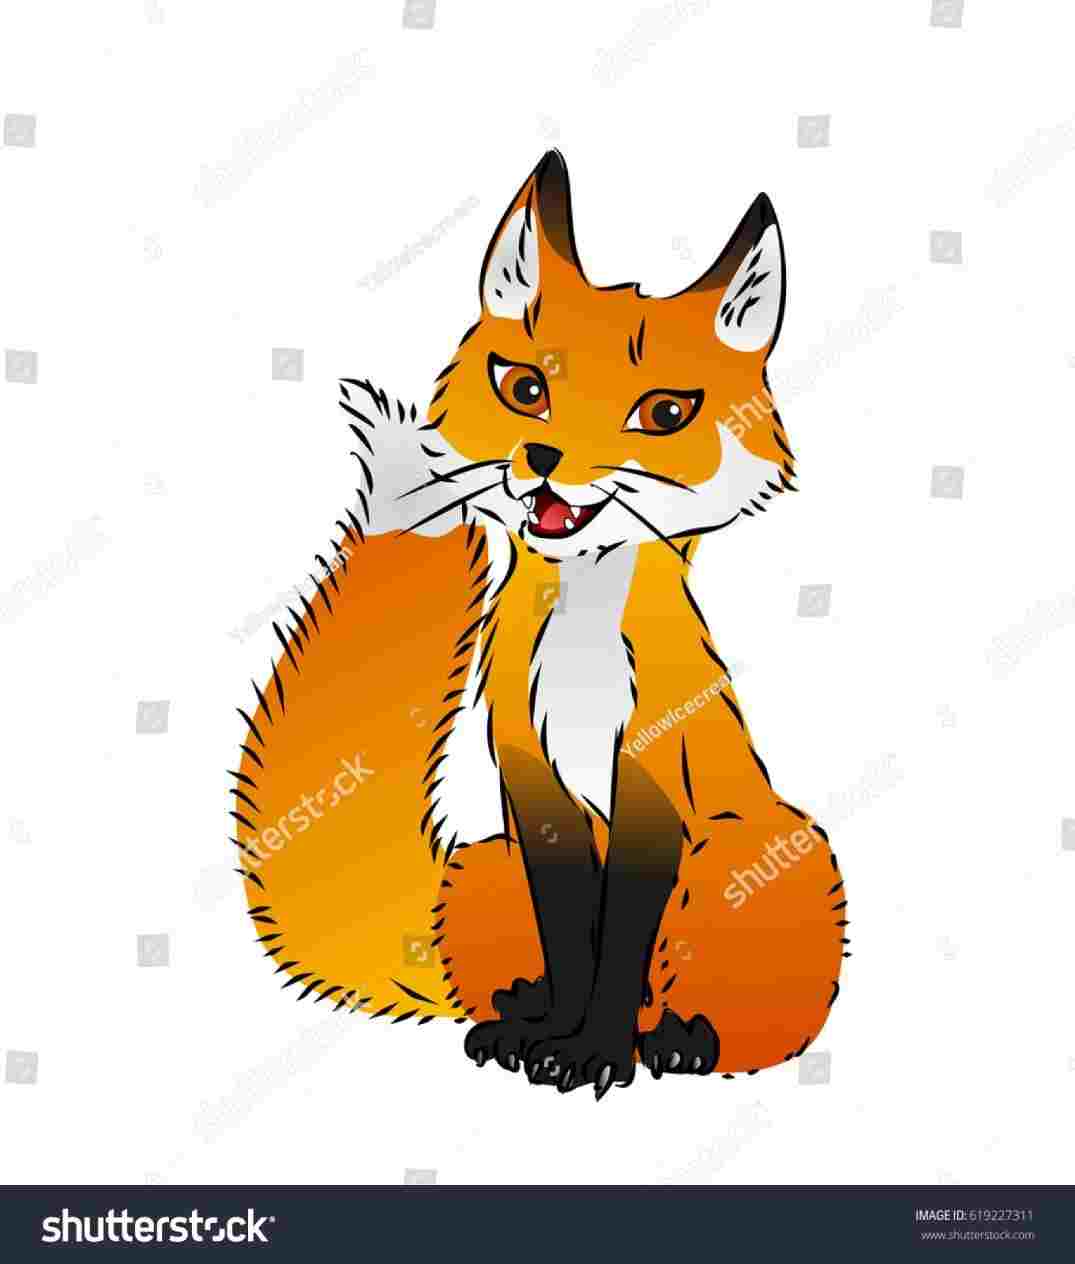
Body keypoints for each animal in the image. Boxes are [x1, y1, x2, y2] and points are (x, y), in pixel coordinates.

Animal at [231, 151, 847, 1100]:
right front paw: (555, 1032)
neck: (579, 655)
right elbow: (571, 934)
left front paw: (596, 1052)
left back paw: (677, 1040)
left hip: (755, 846)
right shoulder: (533, 787)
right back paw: (516, 1010)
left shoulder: (649, 785)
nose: (543, 459)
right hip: (492, 859)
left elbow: (621, 939)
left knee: (725, 1015)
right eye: (525, 389)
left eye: (664, 413)